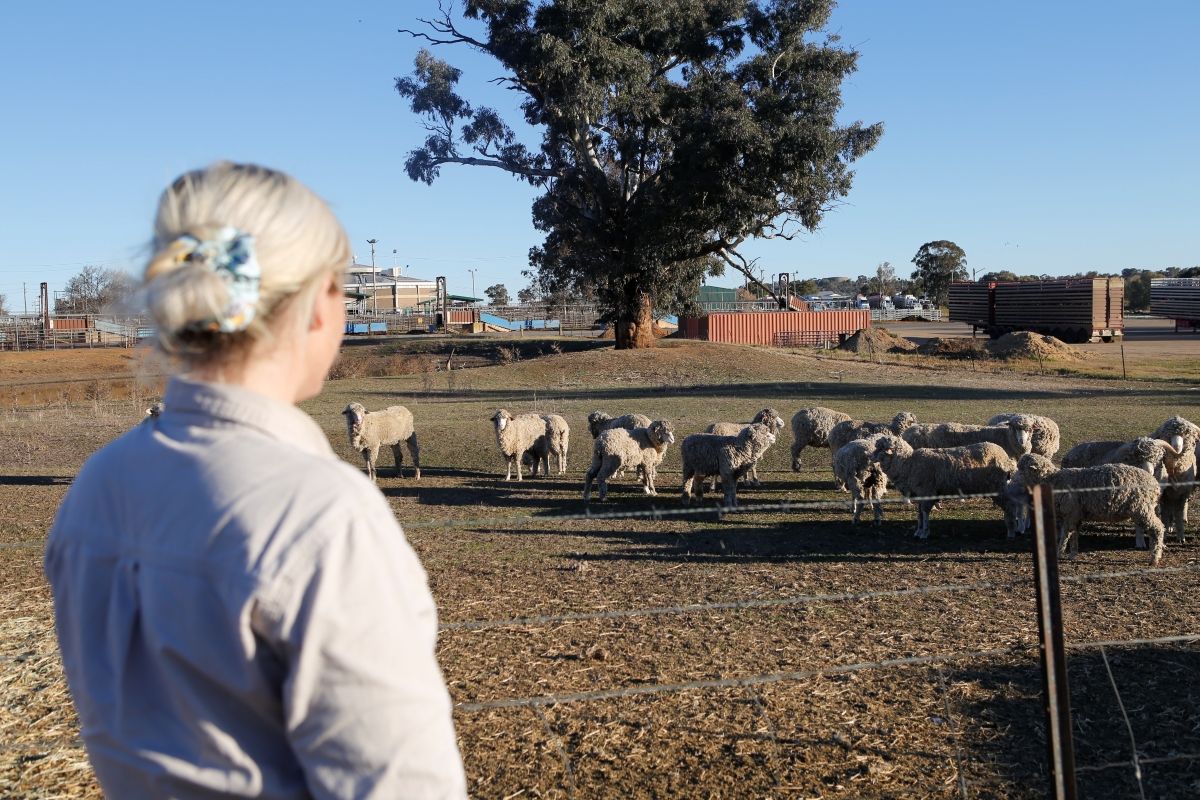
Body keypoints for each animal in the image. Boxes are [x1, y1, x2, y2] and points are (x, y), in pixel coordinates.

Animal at [868, 434, 1017, 542]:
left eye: (881, 448)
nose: (870, 457)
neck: (908, 463)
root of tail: (1006, 458)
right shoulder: (920, 493)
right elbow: (919, 513)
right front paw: (918, 531)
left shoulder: (927, 492)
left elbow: (925, 513)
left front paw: (924, 533)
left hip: (998, 487)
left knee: (1010, 506)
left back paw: (1011, 531)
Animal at [1017, 453, 1166, 566]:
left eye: (1021, 468)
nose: (1014, 477)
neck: (1052, 480)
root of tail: (1155, 483)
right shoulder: (1074, 515)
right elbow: (1073, 533)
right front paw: (1072, 554)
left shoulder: (1070, 513)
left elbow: (1066, 534)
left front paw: (1060, 553)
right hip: (1145, 509)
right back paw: (1154, 552)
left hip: (1143, 509)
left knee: (1157, 529)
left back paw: (1154, 558)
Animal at [1147, 412, 1195, 544]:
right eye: (1168, 435)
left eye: (1186, 434)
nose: (1176, 447)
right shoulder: (1165, 495)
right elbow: (1165, 514)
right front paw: (1165, 533)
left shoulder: (1183, 494)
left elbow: (1179, 514)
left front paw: (1181, 537)